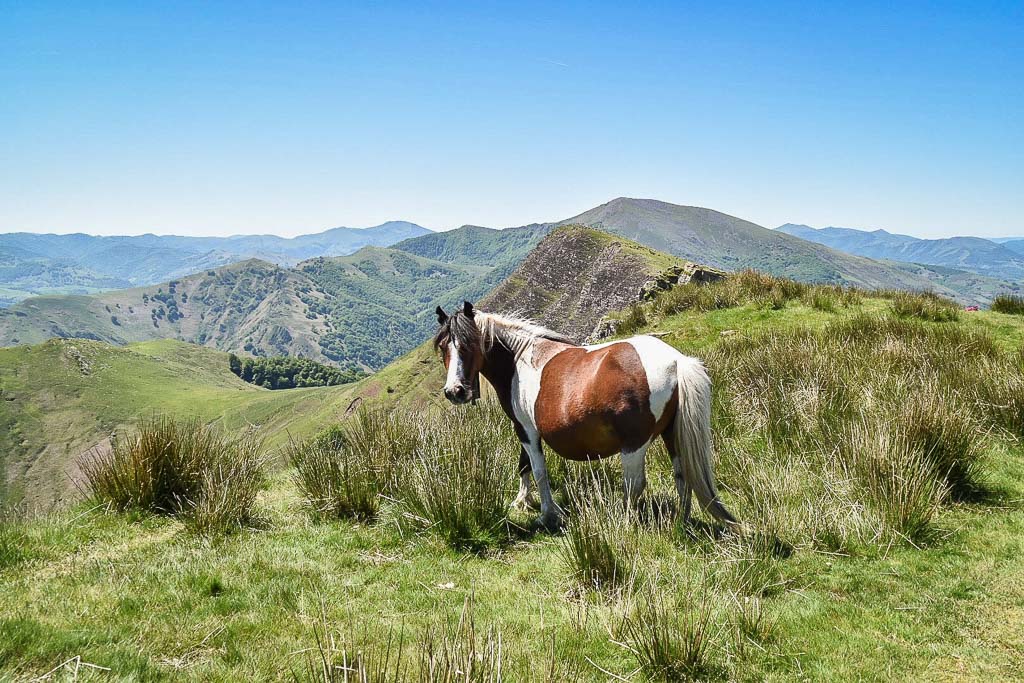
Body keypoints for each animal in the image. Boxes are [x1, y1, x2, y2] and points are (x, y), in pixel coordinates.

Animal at [434, 301, 738, 531]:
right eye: (444, 347)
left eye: (470, 344)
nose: (455, 391)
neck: (519, 360)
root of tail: (676, 361)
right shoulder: (524, 428)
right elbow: (525, 465)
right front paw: (523, 501)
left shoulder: (527, 430)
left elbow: (538, 470)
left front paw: (547, 514)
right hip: (671, 434)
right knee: (682, 476)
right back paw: (681, 524)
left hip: (634, 445)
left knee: (635, 484)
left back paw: (623, 523)